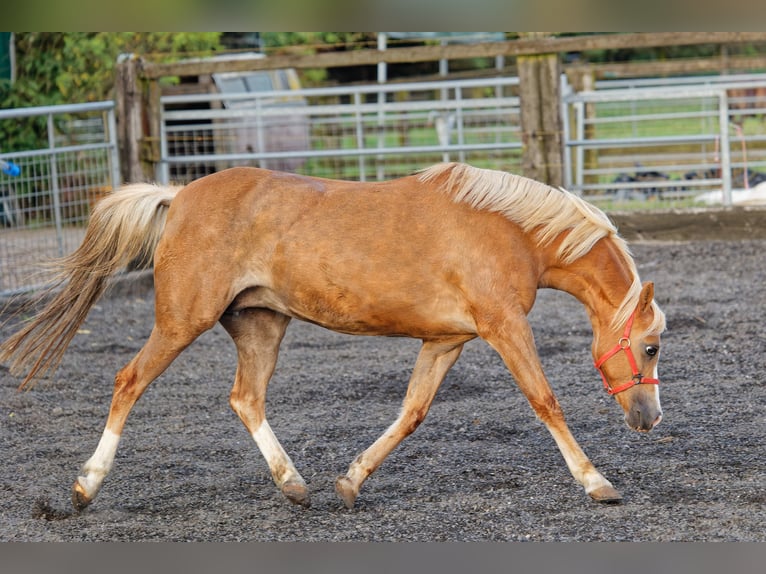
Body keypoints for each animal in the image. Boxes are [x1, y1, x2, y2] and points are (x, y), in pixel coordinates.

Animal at [0, 163, 664, 512]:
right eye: (652, 346)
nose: (650, 417)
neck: (510, 231)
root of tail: (179, 195)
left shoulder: (446, 341)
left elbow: (411, 413)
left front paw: (351, 480)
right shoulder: (505, 328)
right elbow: (546, 402)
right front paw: (597, 482)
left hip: (261, 325)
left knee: (246, 399)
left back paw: (294, 484)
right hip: (181, 321)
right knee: (128, 381)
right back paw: (86, 485)